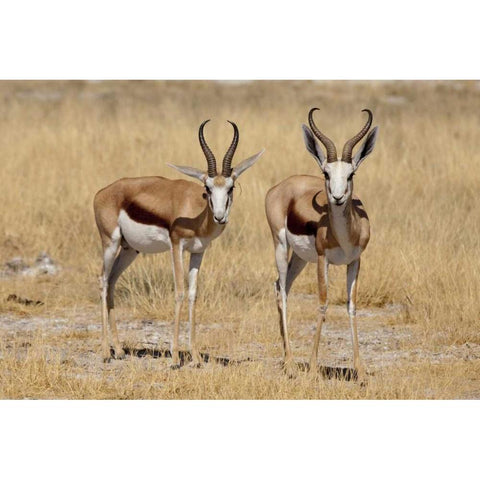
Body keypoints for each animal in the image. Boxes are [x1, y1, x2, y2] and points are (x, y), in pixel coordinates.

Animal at [93, 119, 266, 364]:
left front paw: (196, 356)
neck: (197, 214)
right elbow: (179, 292)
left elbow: (193, 294)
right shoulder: (177, 247)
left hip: (129, 250)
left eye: (230, 187)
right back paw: (106, 352)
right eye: (207, 188)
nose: (219, 217)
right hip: (110, 243)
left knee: (112, 281)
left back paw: (118, 350)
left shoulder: (198, 251)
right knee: (102, 280)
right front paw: (175, 358)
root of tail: (101, 192)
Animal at [264, 109, 376, 376]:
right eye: (326, 173)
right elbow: (323, 304)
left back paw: (287, 358)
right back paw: (291, 364)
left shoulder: (355, 261)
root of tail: (279, 187)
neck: (344, 236)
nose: (337, 197)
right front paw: (314, 367)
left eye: (351, 174)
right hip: (281, 247)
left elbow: (351, 305)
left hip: (300, 258)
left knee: (281, 287)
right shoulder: (323, 259)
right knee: (281, 292)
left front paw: (360, 371)